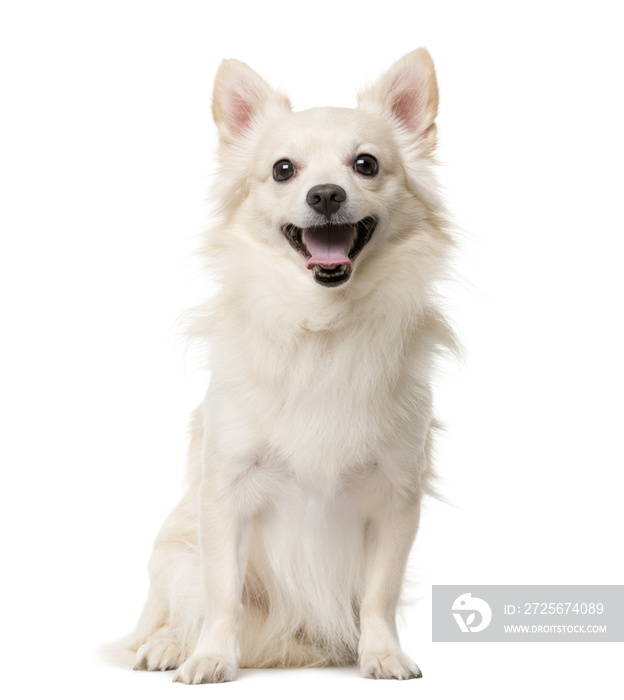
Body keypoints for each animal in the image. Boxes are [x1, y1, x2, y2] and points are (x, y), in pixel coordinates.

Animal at [125, 46, 454, 680]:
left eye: (366, 165)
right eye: (282, 170)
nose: (325, 194)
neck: (320, 325)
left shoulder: (396, 496)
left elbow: (378, 593)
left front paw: (381, 654)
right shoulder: (225, 494)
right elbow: (222, 594)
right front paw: (210, 658)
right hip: (175, 556)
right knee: (182, 606)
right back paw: (169, 646)